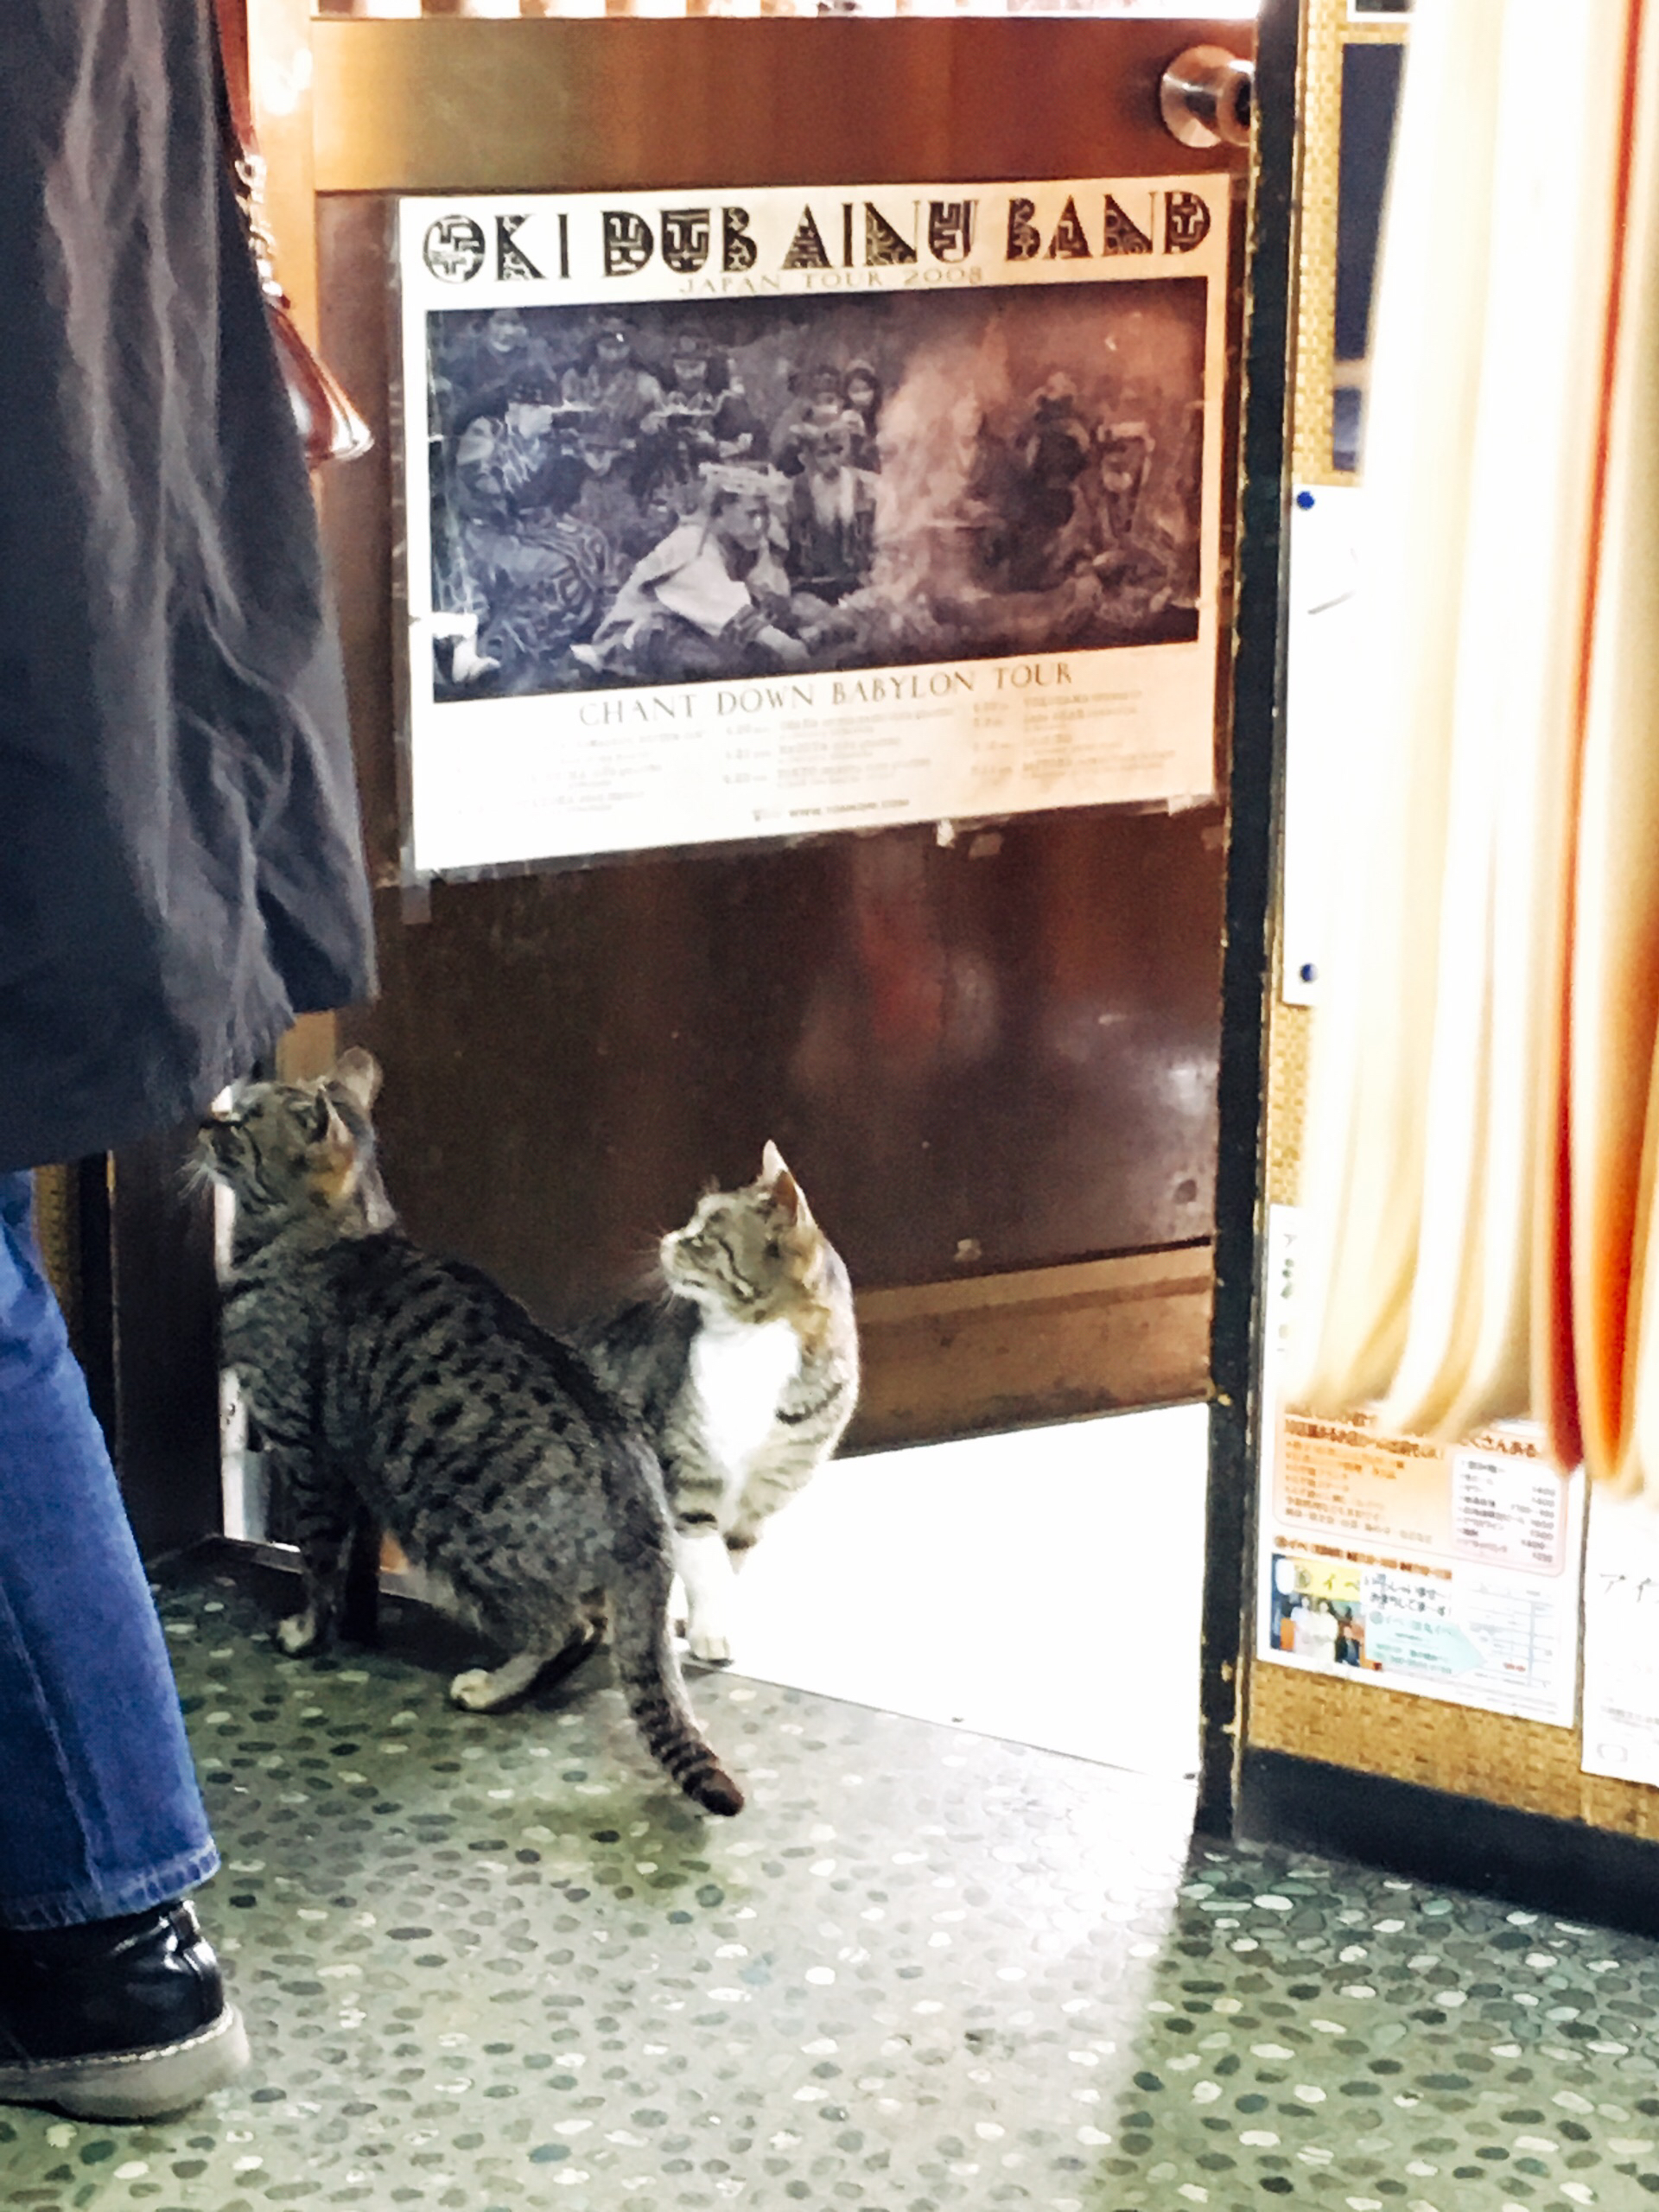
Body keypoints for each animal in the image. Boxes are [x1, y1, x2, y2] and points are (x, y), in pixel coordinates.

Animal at [198, 1052, 743, 1814]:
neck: (335, 1236)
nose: (203, 1120)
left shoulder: (305, 1453)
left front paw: (308, 1633)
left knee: (567, 1626)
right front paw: (358, 1624)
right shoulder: (360, 1472)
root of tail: (647, 1515)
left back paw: (490, 1688)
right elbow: (355, 1565)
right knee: (591, 1628)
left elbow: (318, 1561)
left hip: (455, 1531)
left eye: (242, 1123)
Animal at [583, 1141, 862, 1663]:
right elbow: (705, 1563)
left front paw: (705, 1626)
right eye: (691, 1221)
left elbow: (728, 1564)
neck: (750, 1349)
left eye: (704, 1236)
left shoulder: (761, 1499)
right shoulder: (687, 1477)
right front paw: (711, 1631)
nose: (667, 1239)